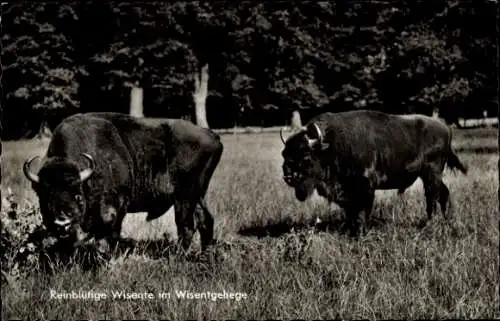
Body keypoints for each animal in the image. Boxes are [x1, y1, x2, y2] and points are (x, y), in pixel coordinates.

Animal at [23, 112, 223, 252]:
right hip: (198, 195)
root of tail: (211, 135)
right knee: (205, 220)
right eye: (45, 197)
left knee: (186, 225)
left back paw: (179, 257)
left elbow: (108, 235)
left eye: (78, 195)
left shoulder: (116, 208)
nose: (62, 222)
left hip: (184, 197)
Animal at [282, 110, 468, 235]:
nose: (288, 176)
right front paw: (350, 231)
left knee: (432, 197)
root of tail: (446, 128)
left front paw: (361, 232)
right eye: (284, 154)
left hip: (432, 172)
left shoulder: (365, 188)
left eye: (306, 155)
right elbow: (351, 212)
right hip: (429, 174)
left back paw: (430, 224)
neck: (330, 146)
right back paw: (446, 220)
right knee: (443, 193)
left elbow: (361, 211)